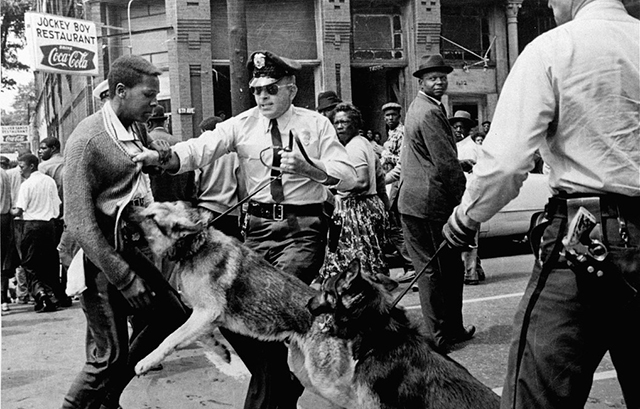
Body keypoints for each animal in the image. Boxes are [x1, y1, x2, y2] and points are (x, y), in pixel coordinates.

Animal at [127, 202, 358, 406]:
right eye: (148, 208)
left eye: (151, 217)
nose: (128, 209)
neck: (197, 245)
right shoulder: (202, 315)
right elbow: (198, 336)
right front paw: (220, 349)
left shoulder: (206, 312)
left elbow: (170, 338)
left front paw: (146, 361)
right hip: (303, 371)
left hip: (326, 382)